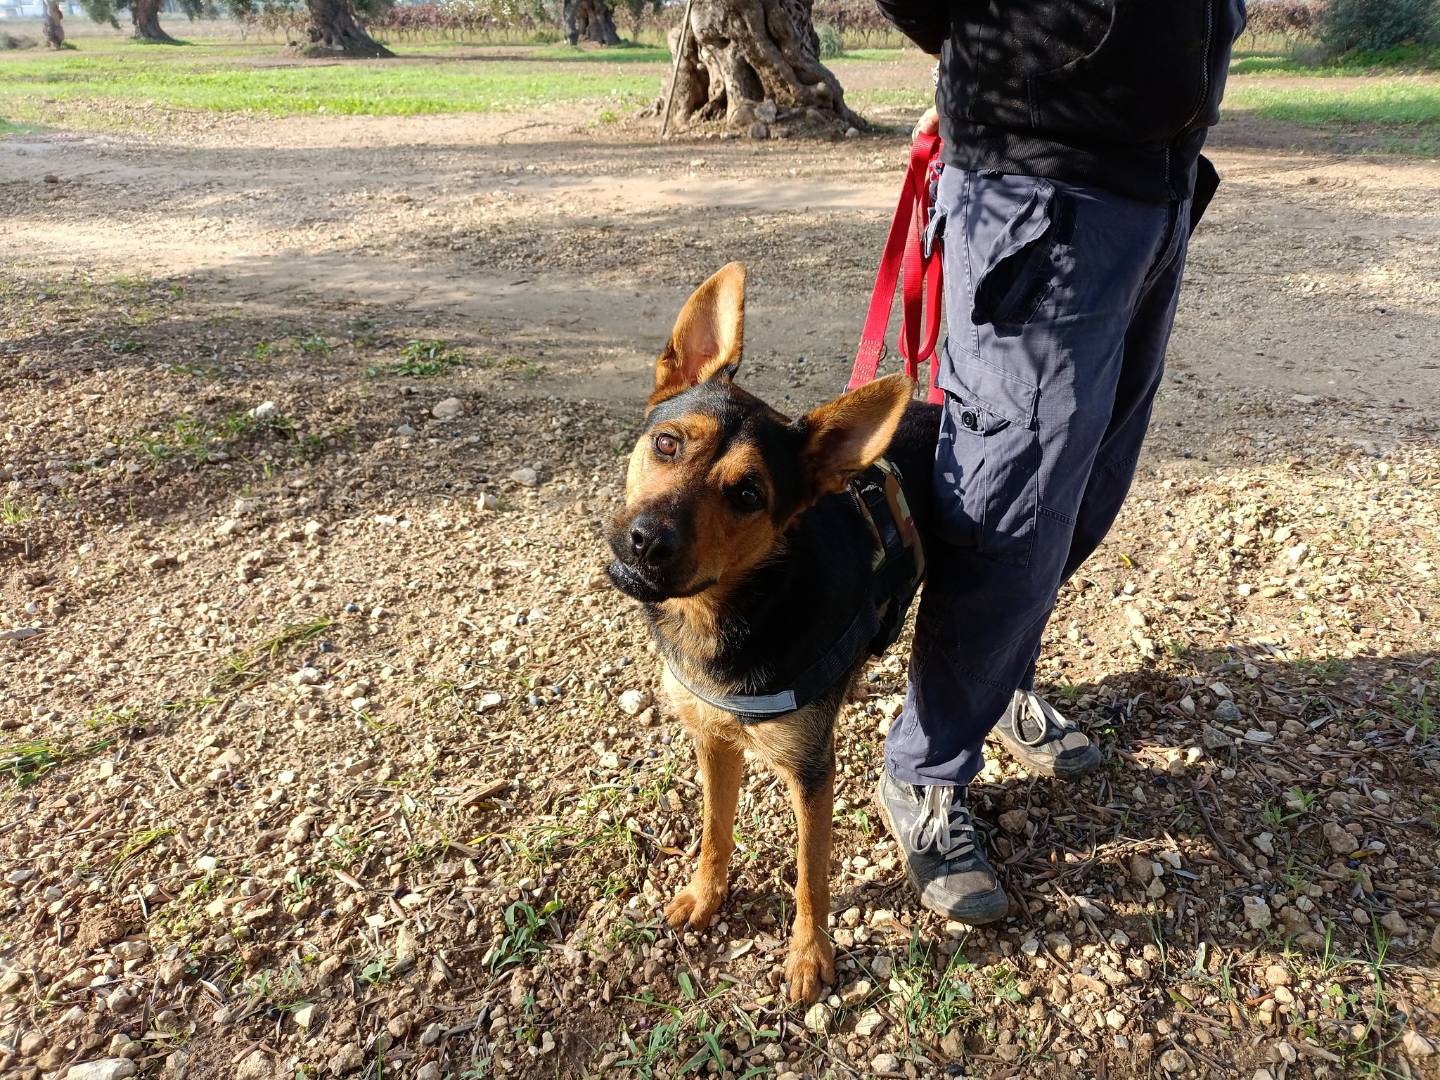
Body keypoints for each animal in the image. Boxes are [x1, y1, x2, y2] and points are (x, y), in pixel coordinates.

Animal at [601, 262, 938, 1008]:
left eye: (749, 496)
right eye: (667, 444)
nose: (647, 542)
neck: (731, 610)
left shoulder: (812, 773)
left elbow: (811, 875)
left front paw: (810, 956)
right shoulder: (712, 739)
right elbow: (714, 829)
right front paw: (706, 894)